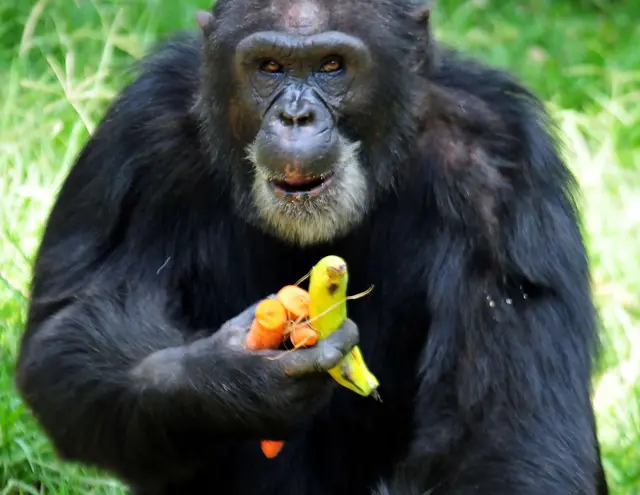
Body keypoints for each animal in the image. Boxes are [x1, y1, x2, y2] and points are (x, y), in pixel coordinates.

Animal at [15, 0, 608, 495]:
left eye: (331, 65)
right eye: (270, 68)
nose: (296, 116)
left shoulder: (502, 168)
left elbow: (505, 427)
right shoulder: (138, 139)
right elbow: (68, 333)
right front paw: (233, 378)